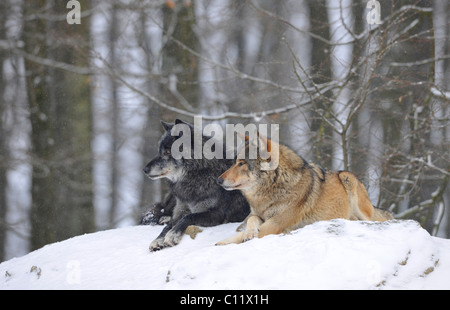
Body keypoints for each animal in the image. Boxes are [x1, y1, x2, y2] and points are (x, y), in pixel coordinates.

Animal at [143, 118, 250, 252]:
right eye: (159, 151)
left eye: (167, 152)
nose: (144, 169)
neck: (199, 173)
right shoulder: (180, 210)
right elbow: (170, 224)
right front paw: (158, 240)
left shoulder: (217, 214)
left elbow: (189, 217)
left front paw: (173, 235)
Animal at [216, 133, 392, 245]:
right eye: (235, 162)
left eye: (241, 163)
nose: (218, 180)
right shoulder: (257, 214)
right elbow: (251, 220)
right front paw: (249, 232)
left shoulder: (275, 224)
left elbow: (238, 236)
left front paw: (221, 243)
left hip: (348, 178)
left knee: (371, 221)